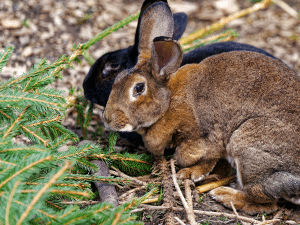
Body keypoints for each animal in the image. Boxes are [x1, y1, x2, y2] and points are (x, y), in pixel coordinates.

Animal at [102, 3, 300, 215]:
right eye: (117, 78)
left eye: (139, 88)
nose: (107, 118)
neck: (169, 101)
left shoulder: (204, 138)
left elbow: (196, 157)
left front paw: (189, 174)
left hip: (246, 147)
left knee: (267, 202)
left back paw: (224, 194)